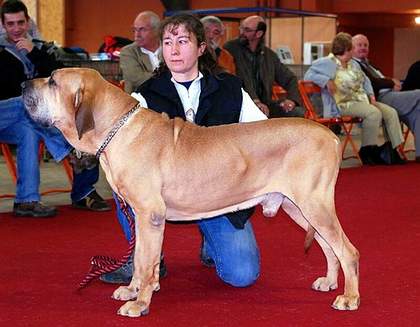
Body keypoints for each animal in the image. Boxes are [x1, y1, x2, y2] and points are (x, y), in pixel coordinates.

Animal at [21, 67, 360, 318]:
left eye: (52, 81)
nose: (24, 83)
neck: (117, 129)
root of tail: (330, 135)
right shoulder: (141, 218)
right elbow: (142, 258)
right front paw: (133, 290)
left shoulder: (150, 216)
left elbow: (145, 261)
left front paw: (139, 303)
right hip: (298, 208)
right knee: (329, 247)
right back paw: (330, 282)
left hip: (314, 205)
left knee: (348, 251)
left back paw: (349, 297)